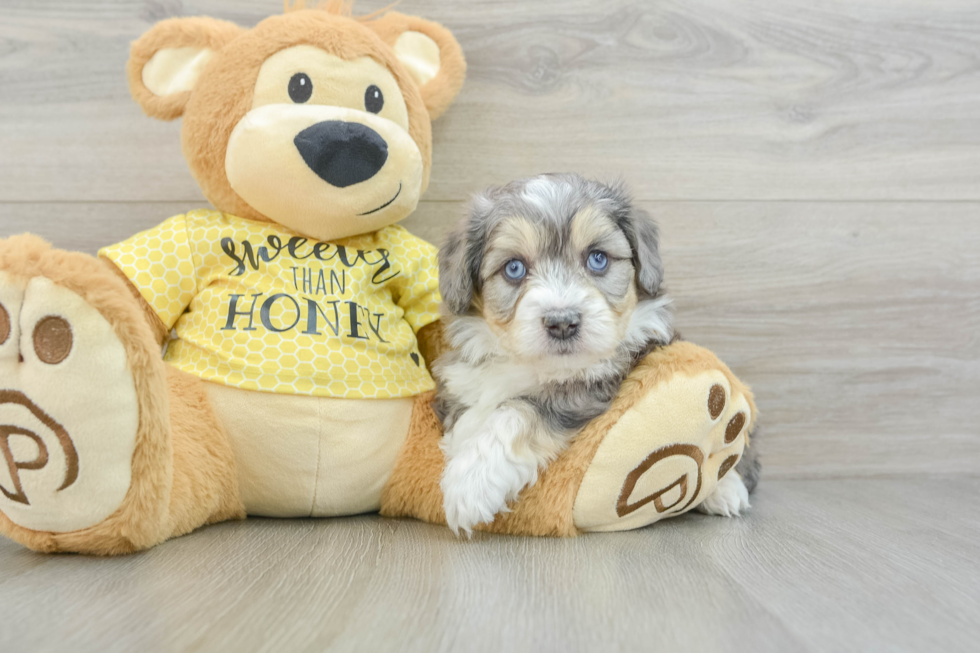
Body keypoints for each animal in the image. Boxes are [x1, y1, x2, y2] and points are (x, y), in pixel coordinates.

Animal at [436, 174, 672, 536]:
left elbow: (518, 411)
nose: (562, 322)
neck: (534, 366)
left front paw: (470, 482)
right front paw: (460, 448)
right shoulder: (460, 382)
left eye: (598, 258)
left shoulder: (591, 389)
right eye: (514, 268)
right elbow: (465, 416)